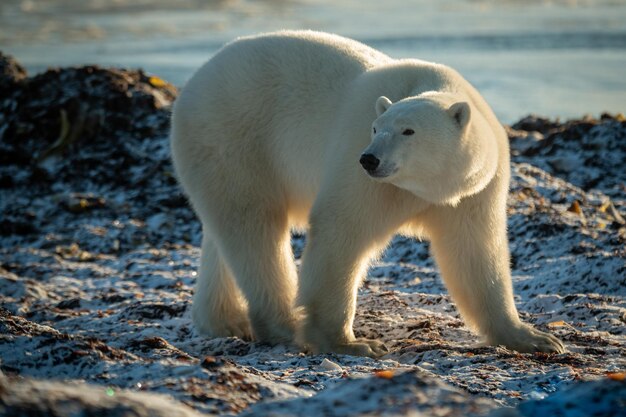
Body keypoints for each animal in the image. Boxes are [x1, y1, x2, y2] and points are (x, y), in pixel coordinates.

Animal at [168, 29, 564, 356]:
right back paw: (283, 325)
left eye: (408, 130)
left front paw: (534, 338)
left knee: (226, 232)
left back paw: (224, 320)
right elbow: (342, 229)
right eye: (376, 128)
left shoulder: (473, 193)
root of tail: (193, 83)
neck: (426, 188)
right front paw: (350, 343)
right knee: (254, 227)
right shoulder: (362, 170)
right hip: (235, 137)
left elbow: (475, 251)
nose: (370, 158)